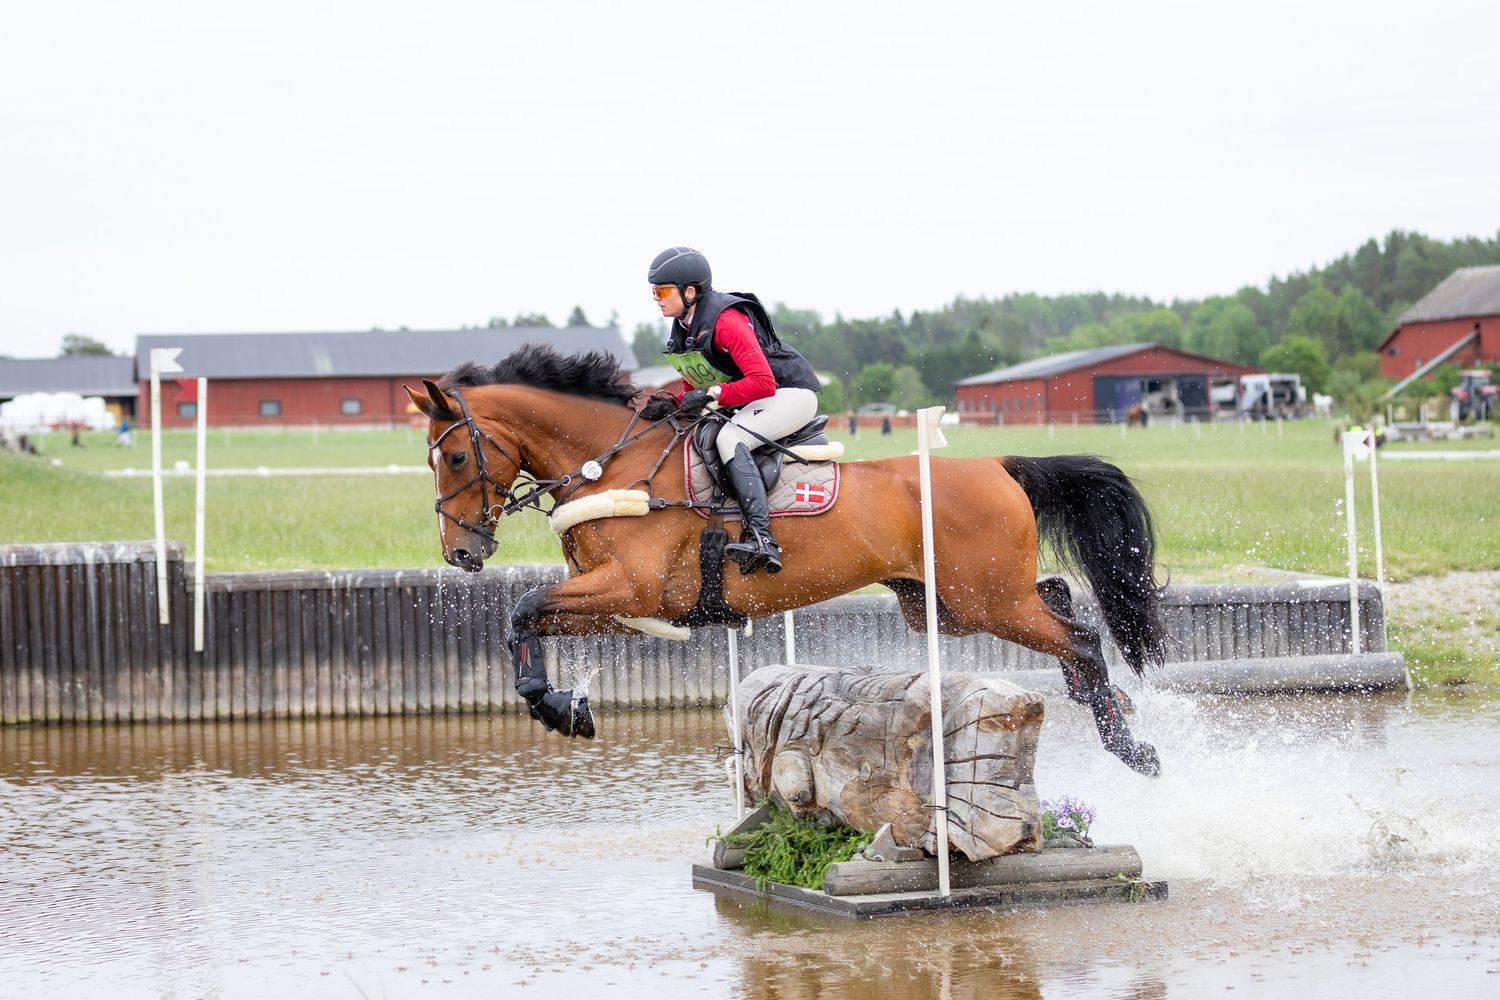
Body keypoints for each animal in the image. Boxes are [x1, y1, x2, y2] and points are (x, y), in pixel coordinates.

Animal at [405, 346, 1167, 776]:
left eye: (455, 456)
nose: (461, 553)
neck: (610, 462)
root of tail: (999, 464)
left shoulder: (630, 588)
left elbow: (522, 608)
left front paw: (559, 707)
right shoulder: (622, 604)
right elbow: (525, 619)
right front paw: (559, 707)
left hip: (987, 600)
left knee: (1082, 635)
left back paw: (1131, 747)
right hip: (951, 605)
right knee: (1060, 598)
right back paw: (1098, 704)